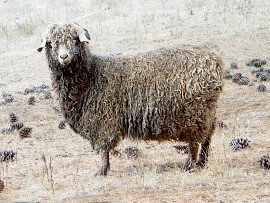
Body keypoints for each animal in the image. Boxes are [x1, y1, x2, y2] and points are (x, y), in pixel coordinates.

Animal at [38, 21, 224, 174]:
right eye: (52, 44)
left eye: (75, 40)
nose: (64, 57)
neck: (91, 76)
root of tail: (214, 59)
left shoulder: (103, 121)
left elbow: (104, 149)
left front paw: (102, 171)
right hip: (207, 110)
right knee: (208, 135)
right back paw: (202, 162)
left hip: (194, 114)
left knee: (195, 142)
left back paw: (189, 165)